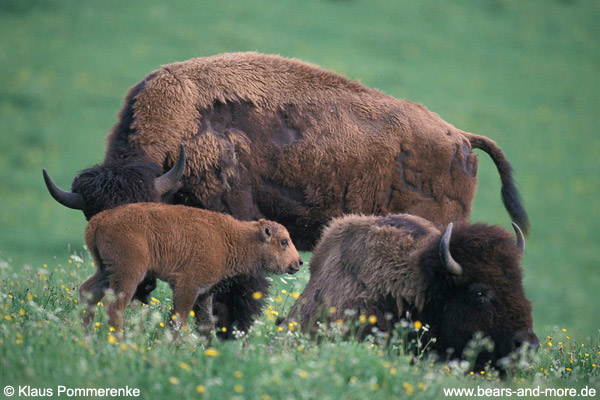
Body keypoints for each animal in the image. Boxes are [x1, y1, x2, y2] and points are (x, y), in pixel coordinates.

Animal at [82, 203, 302, 338]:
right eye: (284, 242)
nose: (298, 262)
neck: (231, 238)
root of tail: (102, 218)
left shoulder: (204, 294)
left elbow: (206, 324)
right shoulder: (187, 287)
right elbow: (180, 319)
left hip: (105, 270)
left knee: (88, 292)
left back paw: (84, 333)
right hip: (128, 274)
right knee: (114, 307)